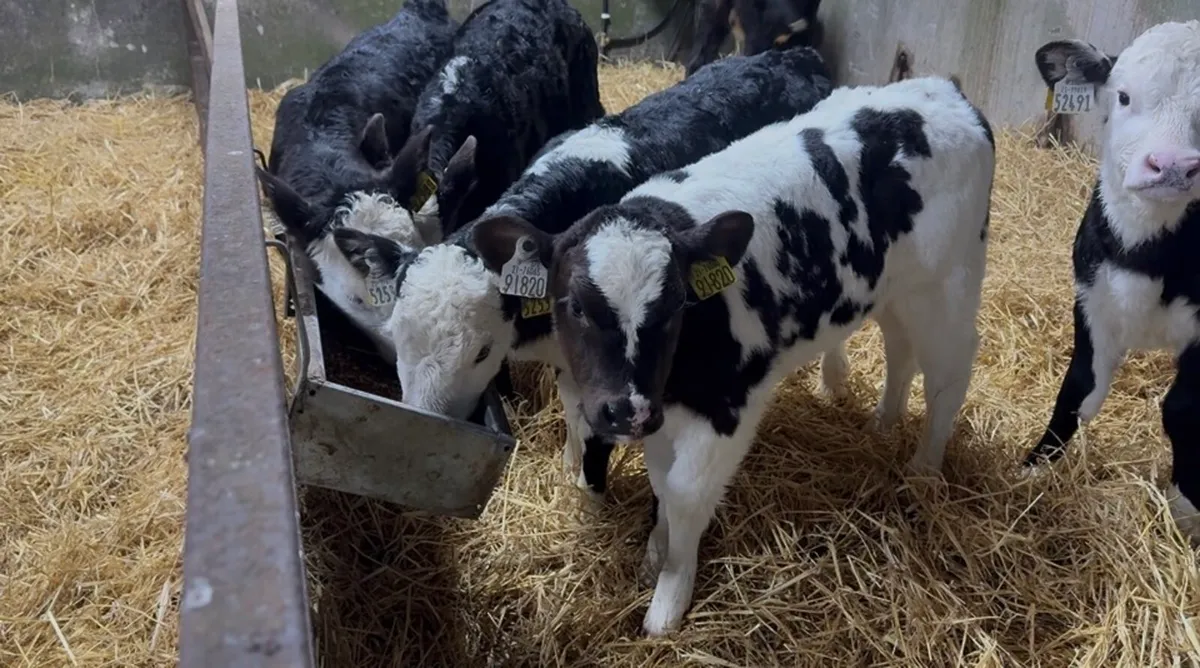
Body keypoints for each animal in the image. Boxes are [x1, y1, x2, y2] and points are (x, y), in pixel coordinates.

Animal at [328, 47, 836, 500]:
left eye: (483, 351)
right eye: (397, 335)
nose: (425, 427)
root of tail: (798, 56)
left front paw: (590, 493)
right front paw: (569, 467)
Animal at [469, 76, 995, 635]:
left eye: (677, 302)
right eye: (571, 305)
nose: (623, 410)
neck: (675, 378)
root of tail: (942, 90)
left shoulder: (728, 404)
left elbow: (684, 492)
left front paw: (667, 601)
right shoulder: (661, 409)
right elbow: (661, 481)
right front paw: (656, 550)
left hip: (950, 283)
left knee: (948, 374)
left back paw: (923, 468)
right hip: (896, 290)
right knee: (901, 350)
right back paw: (882, 423)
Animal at [1022, 21, 1200, 545]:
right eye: (1122, 96)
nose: (1173, 165)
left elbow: (1182, 409)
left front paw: (1186, 508)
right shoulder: (1092, 301)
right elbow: (1078, 391)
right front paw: (1035, 469)